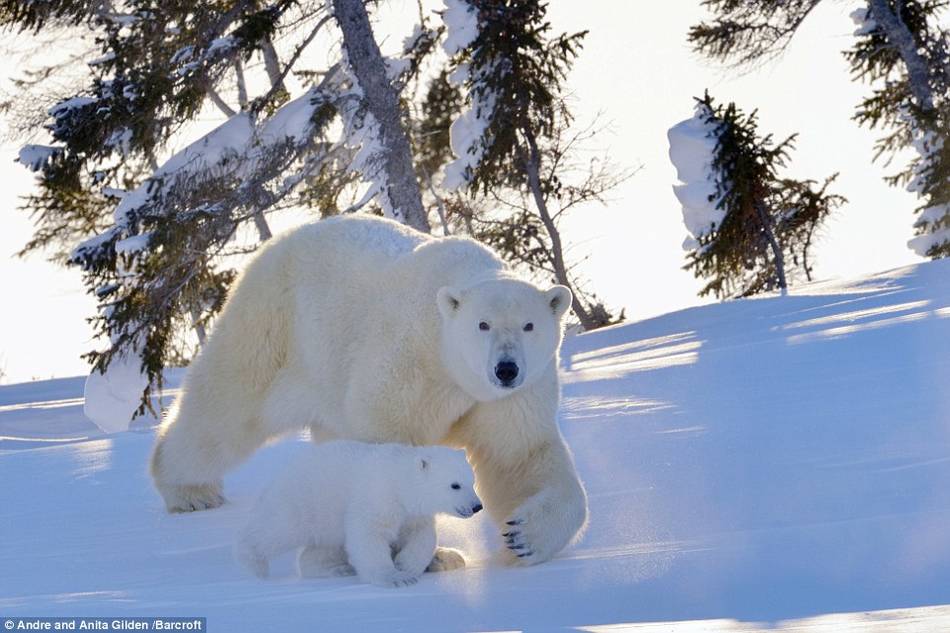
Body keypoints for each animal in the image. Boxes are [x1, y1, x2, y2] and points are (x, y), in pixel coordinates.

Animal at [151, 215, 588, 564]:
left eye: (529, 325)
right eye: (483, 324)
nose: (506, 368)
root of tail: (274, 245)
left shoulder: (508, 397)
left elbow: (519, 455)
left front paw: (524, 536)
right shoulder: (409, 364)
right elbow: (387, 454)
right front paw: (429, 553)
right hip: (273, 329)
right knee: (226, 409)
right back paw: (190, 491)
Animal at [234, 442, 480, 584]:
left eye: (472, 481)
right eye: (455, 485)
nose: (477, 506)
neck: (399, 481)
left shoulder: (413, 513)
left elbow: (422, 535)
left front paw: (406, 565)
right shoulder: (377, 496)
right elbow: (369, 534)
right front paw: (394, 578)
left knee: (319, 549)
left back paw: (338, 569)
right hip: (309, 500)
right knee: (277, 528)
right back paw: (254, 565)